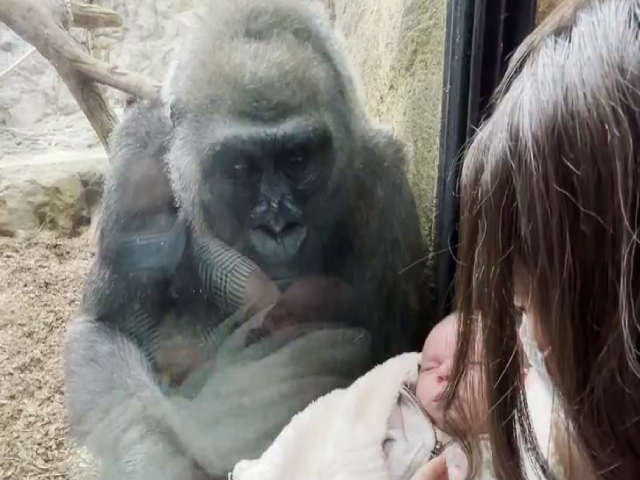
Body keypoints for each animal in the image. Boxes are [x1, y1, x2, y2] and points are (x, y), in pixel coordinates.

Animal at [64, 1, 434, 478]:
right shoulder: (139, 154)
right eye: (242, 167)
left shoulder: (385, 177)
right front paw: (156, 459)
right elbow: (104, 330)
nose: (278, 225)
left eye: (297, 159)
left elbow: (393, 363)